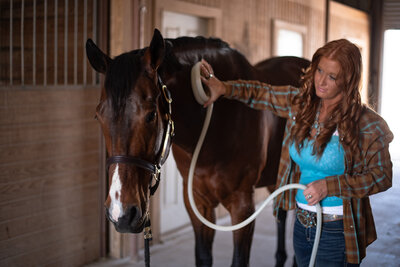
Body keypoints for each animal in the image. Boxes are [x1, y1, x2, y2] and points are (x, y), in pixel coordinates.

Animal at [85, 28, 310, 266]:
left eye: (151, 115)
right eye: (99, 116)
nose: (121, 213)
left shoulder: (243, 206)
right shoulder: (197, 202)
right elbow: (203, 256)